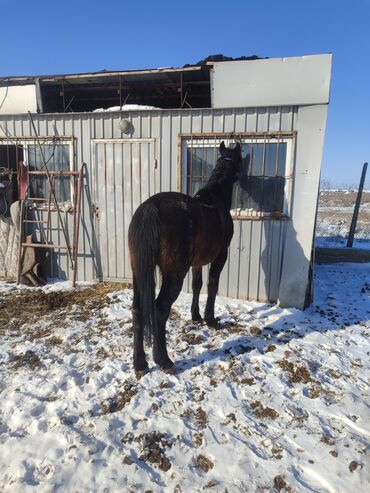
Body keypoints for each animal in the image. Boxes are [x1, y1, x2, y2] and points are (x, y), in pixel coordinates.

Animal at [128, 141, 243, 372]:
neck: (216, 199)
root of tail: (150, 208)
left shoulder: (197, 262)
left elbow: (197, 285)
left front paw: (196, 316)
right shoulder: (220, 256)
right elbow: (212, 284)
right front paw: (210, 319)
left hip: (138, 271)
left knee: (137, 309)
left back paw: (140, 363)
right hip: (174, 275)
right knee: (160, 309)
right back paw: (163, 360)